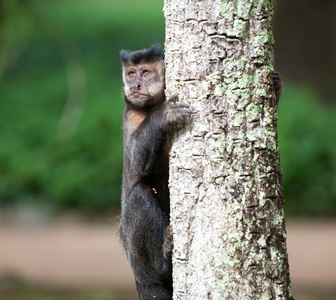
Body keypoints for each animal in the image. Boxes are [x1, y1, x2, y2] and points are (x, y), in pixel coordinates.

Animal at [119, 44, 192, 300]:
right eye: (131, 74)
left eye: (145, 73)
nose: (135, 86)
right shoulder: (130, 114)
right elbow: (138, 162)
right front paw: (162, 115)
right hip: (136, 260)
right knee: (141, 194)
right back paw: (163, 264)